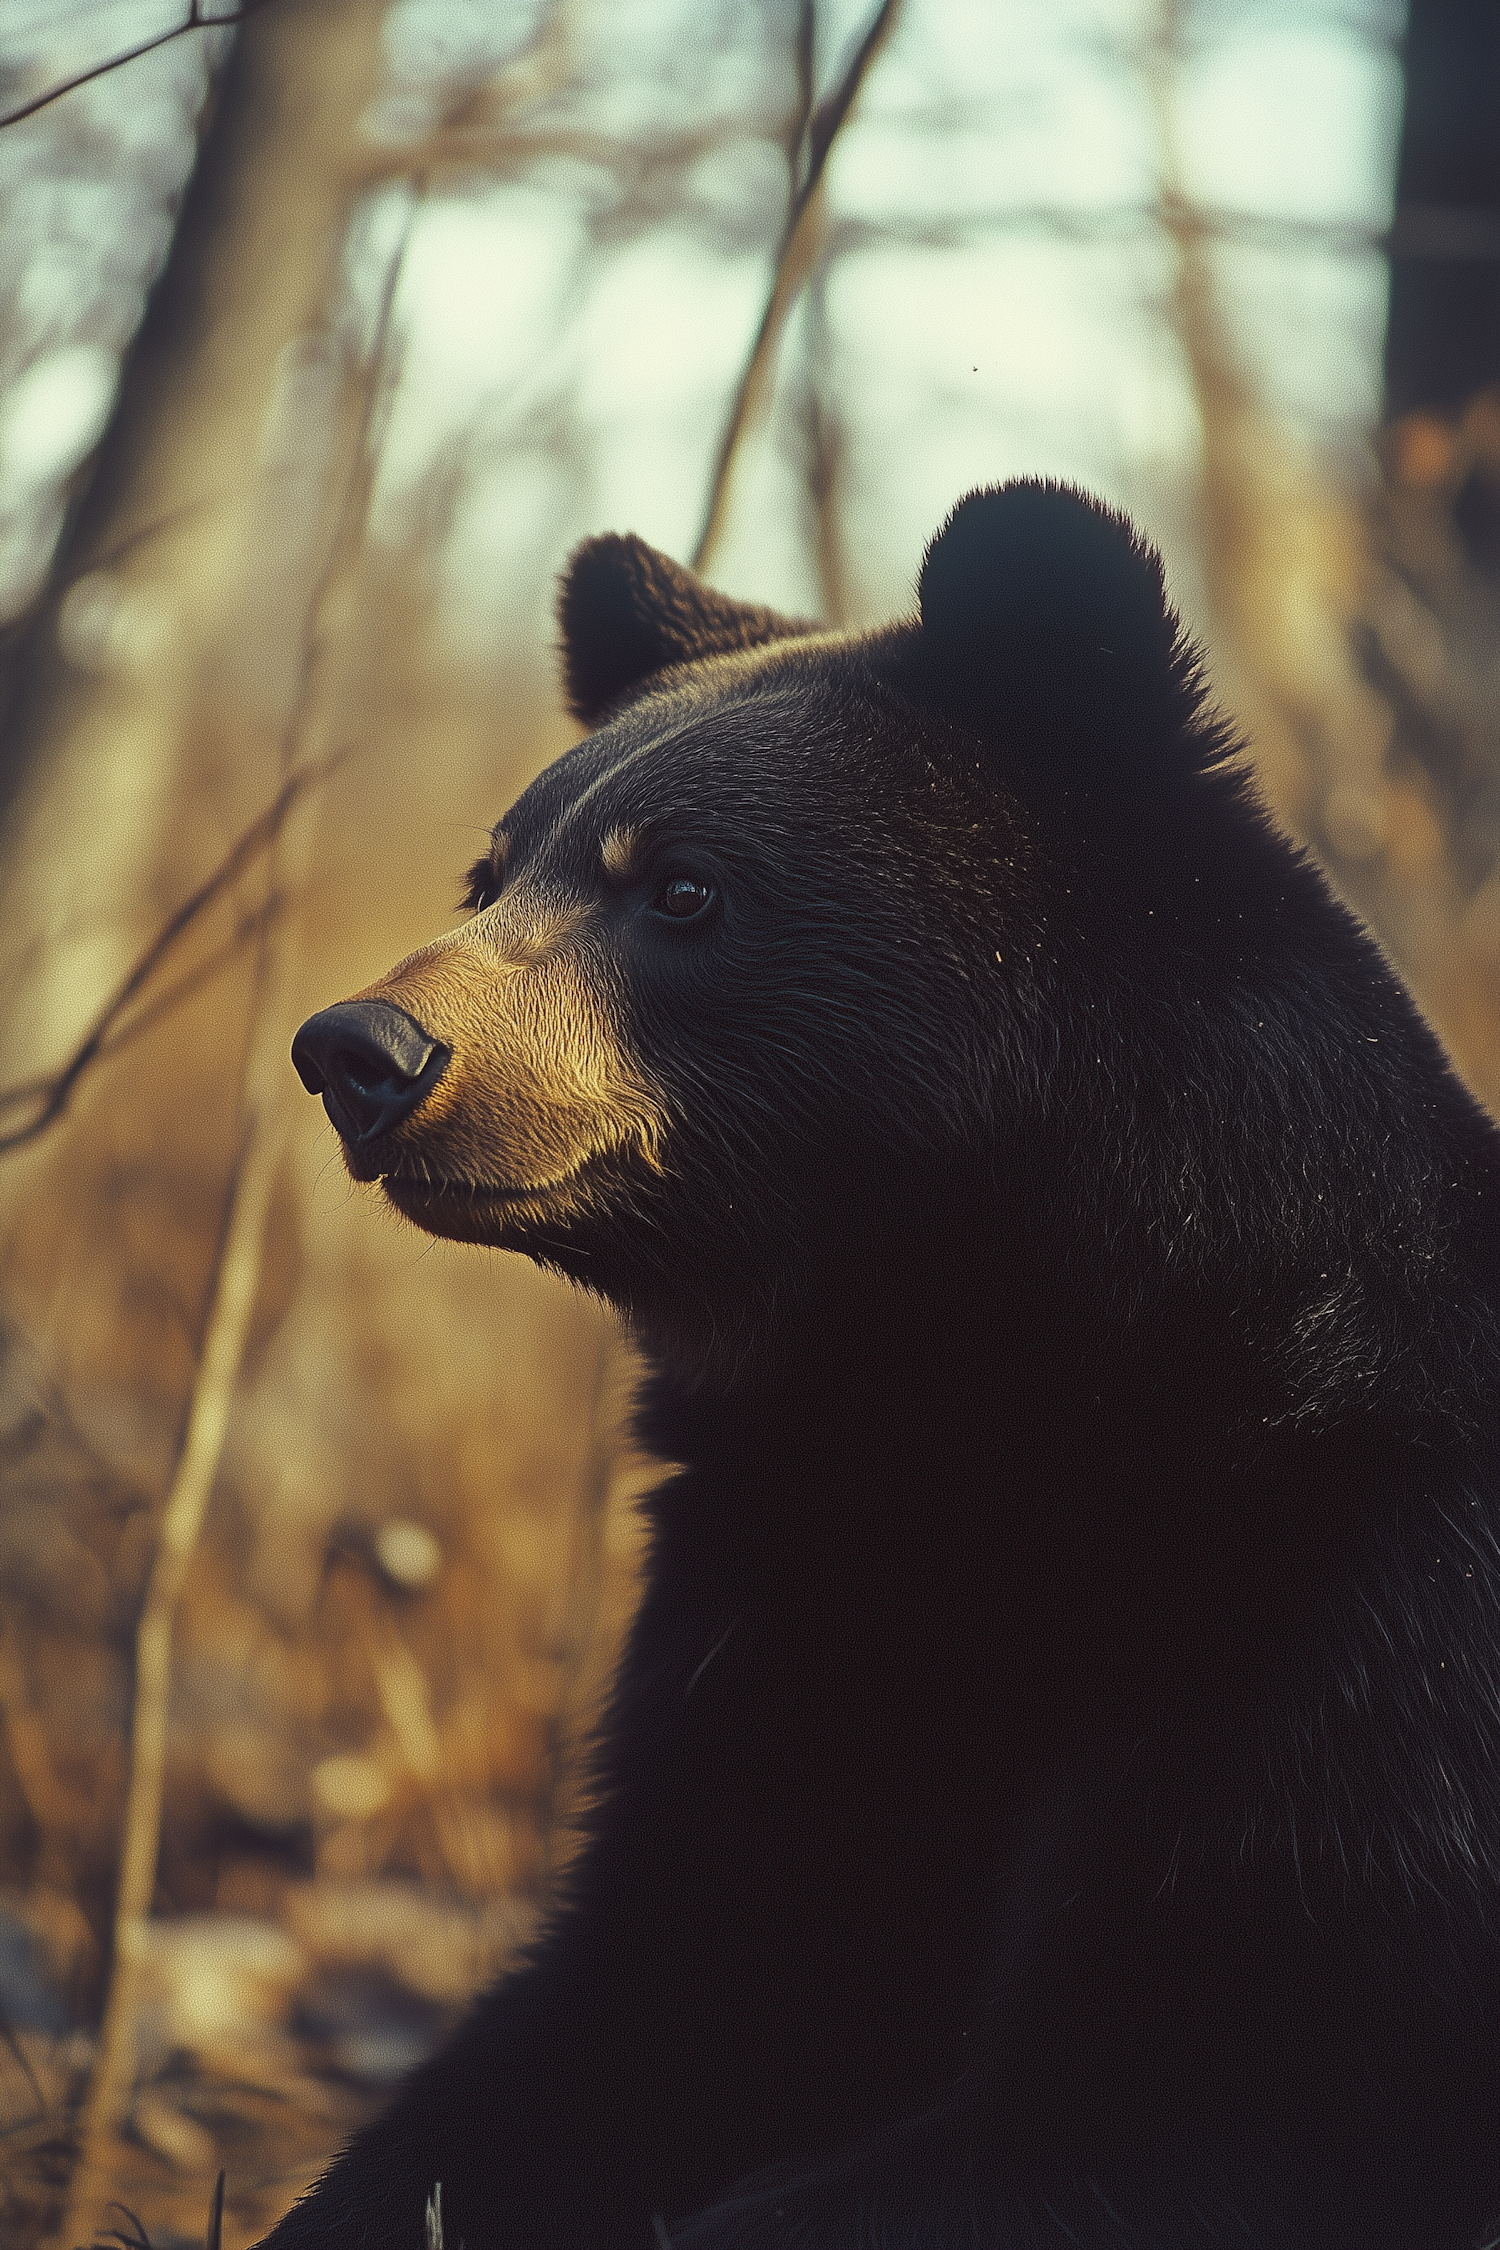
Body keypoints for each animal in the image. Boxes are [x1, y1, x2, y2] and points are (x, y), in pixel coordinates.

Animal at [281, 492, 1500, 2250]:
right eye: (493, 869)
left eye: (685, 890)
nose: (361, 1054)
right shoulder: (796, 1604)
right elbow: (668, 1979)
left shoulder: (1347, 1623)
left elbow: (1214, 2070)